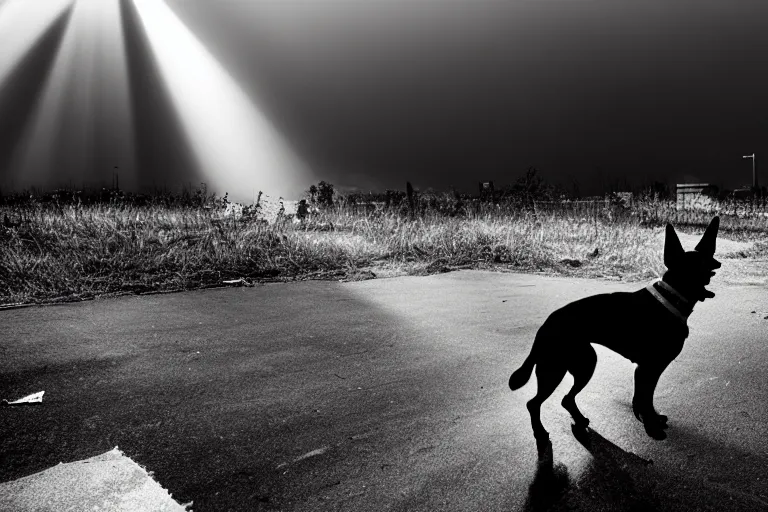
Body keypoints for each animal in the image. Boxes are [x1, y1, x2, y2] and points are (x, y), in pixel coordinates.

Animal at [510, 215, 720, 452]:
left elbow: (644, 398)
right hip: (559, 368)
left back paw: (579, 420)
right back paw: (540, 432)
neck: (671, 297)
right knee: (534, 403)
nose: (717, 264)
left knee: (565, 399)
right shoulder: (648, 368)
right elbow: (645, 398)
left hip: (583, 361)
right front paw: (652, 426)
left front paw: (649, 418)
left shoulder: (647, 370)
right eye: (697, 267)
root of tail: (544, 327)